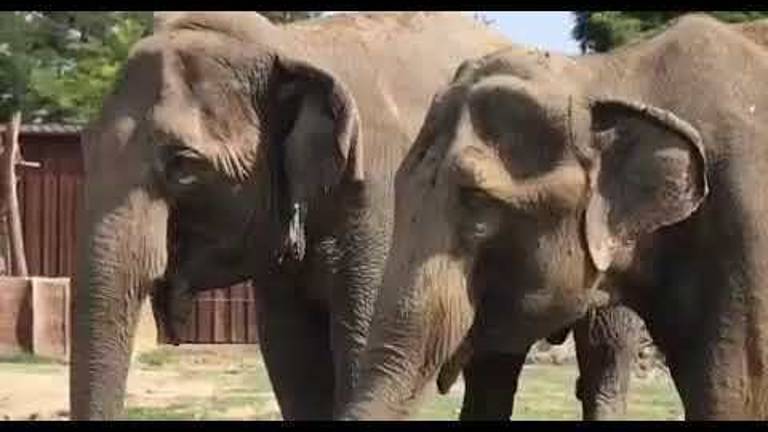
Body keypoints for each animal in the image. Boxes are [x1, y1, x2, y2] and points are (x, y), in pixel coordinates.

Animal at [72, 11, 516, 420]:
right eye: (85, 146)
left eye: (183, 165)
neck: (291, 46)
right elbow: (291, 357)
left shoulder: (386, 202)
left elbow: (365, 345)